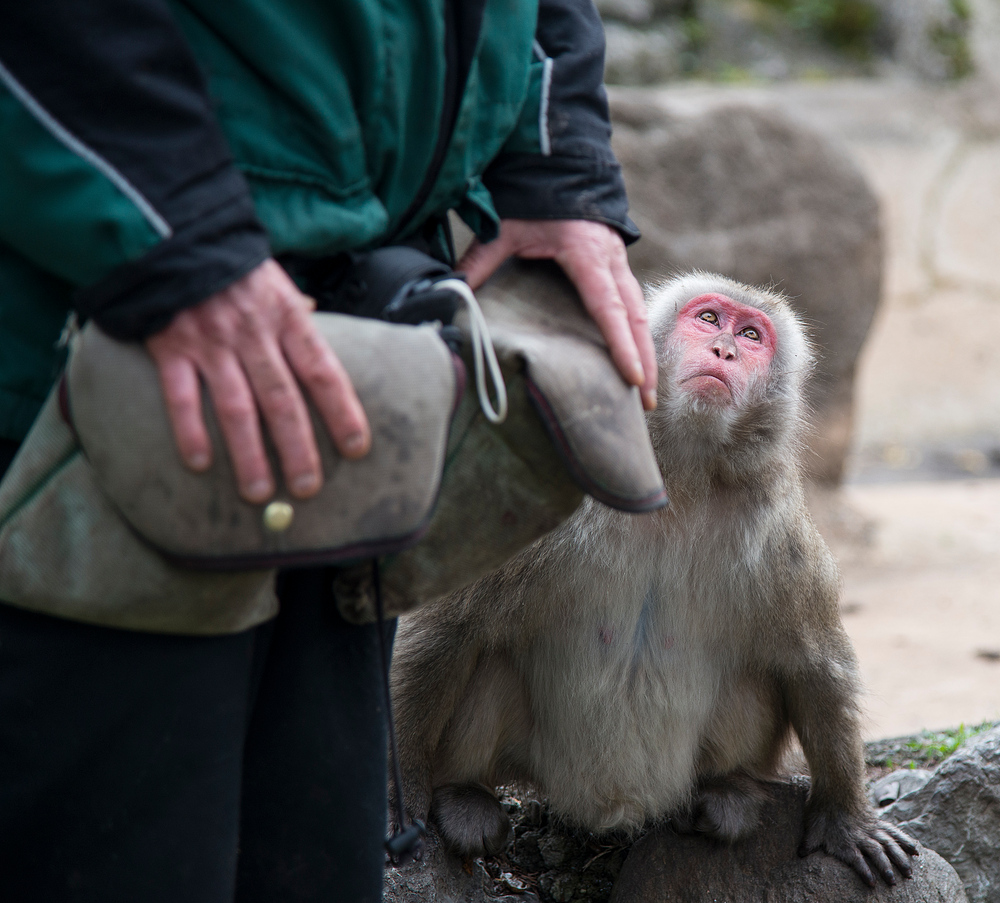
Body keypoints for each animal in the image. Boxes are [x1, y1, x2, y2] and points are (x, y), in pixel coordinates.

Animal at [386, 272, 916, 888]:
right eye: (709, 320)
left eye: (752, 335)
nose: (725, 351)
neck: (678, 473)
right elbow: (444, 630)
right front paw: (404, 801)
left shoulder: (779, 531)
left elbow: (814, 663)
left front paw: (848, 818)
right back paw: (463, 795)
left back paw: (724, 791)